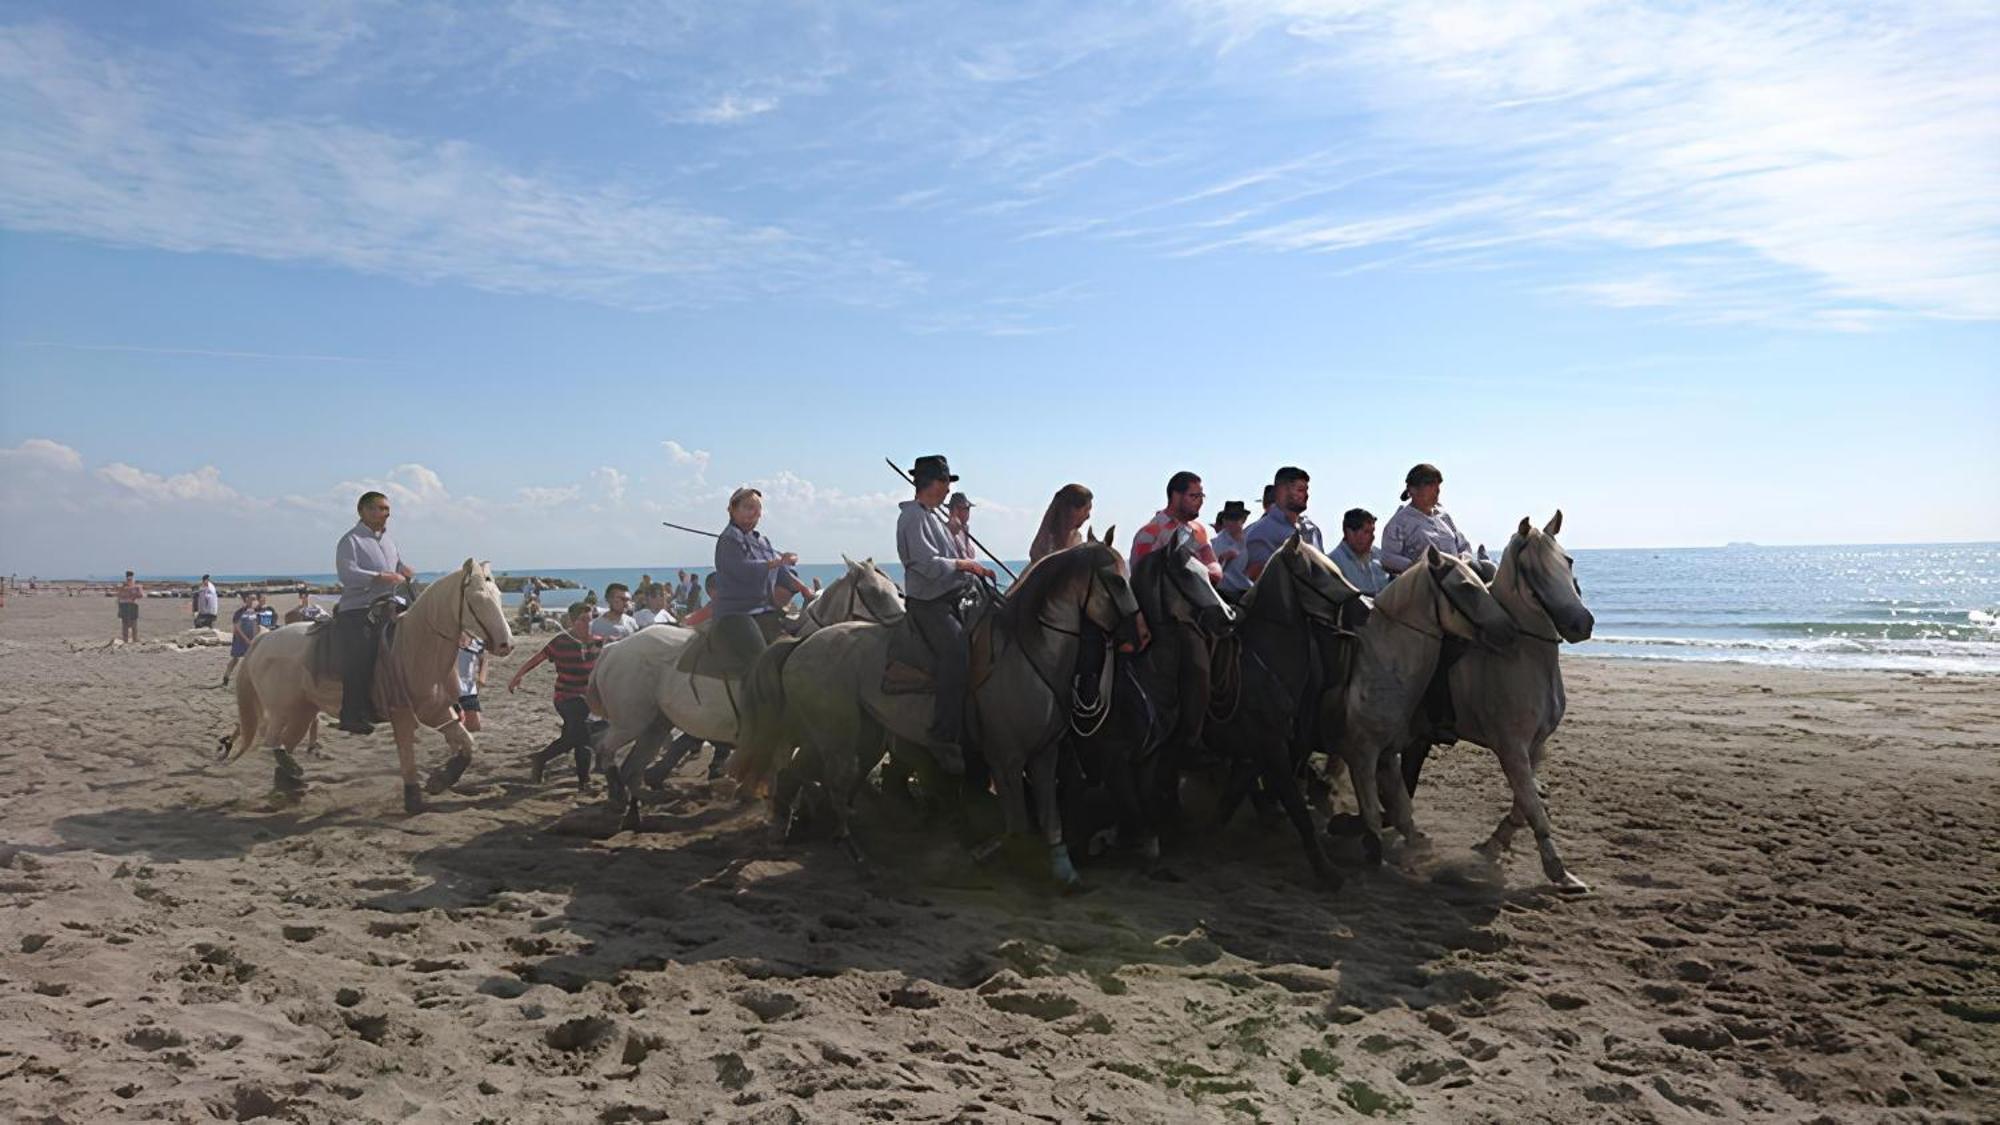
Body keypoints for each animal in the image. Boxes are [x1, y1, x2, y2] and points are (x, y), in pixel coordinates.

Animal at [220, 556, 516, 804]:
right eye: (477, 598)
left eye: (499, 595)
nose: (507, 644)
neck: (415, 644)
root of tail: (264, 638)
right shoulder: (402, 712)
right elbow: (407, 756)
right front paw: (414, 798)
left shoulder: (437, 712)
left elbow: (467, 745)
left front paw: (440, 780)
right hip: (282, 707)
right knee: (272, 741)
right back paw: (290, 774)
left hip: (303, 711)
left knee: (286, 744)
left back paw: (288, 783)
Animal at [584, 556, 908, 828]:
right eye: (875, 592)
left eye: (898, 590)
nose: (903, 628)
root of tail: (613, 650)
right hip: (631, 722)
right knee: (604, 749)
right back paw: (618, 797)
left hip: (656, 724)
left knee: (632, 768)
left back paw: (640, 808)